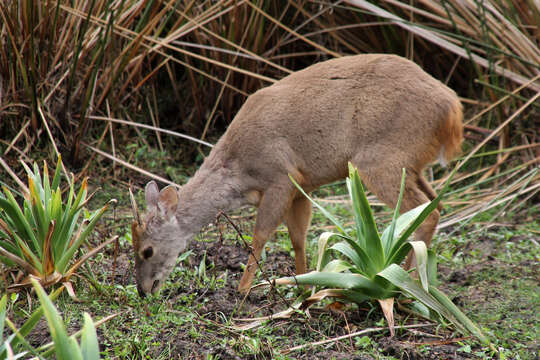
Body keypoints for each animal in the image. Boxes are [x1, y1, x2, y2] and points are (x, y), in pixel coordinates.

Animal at [129, 52, 462, 296]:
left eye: (147, 250)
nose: (144, 291)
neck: (238, 173)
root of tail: (452, 108)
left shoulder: (281, 176)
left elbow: (260, 235)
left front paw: (243, 289)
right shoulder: (302, 186)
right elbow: (298, 237)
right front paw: (304, 284)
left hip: (380, 161)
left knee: (425, 212)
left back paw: (405, 282)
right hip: (411, 165)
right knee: (436, 203)